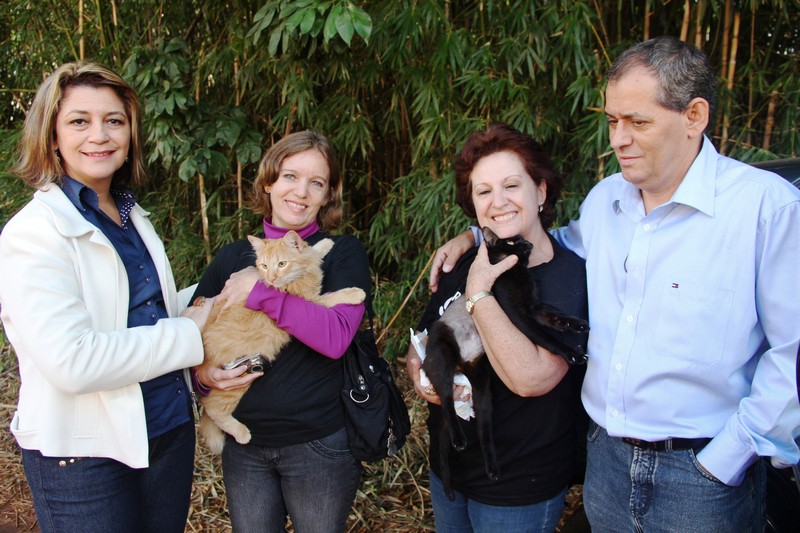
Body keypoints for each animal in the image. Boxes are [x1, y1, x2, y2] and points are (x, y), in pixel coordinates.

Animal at [197, 231, 366, 450]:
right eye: (264, 266)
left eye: (282, 263)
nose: (271, 278)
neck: (300, 274)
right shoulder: (312, 303)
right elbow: (332, 297)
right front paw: (355, 293)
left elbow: (312, 252)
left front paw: (324, 244)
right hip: (235, 380)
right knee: (212, 408)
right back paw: (241, 433)